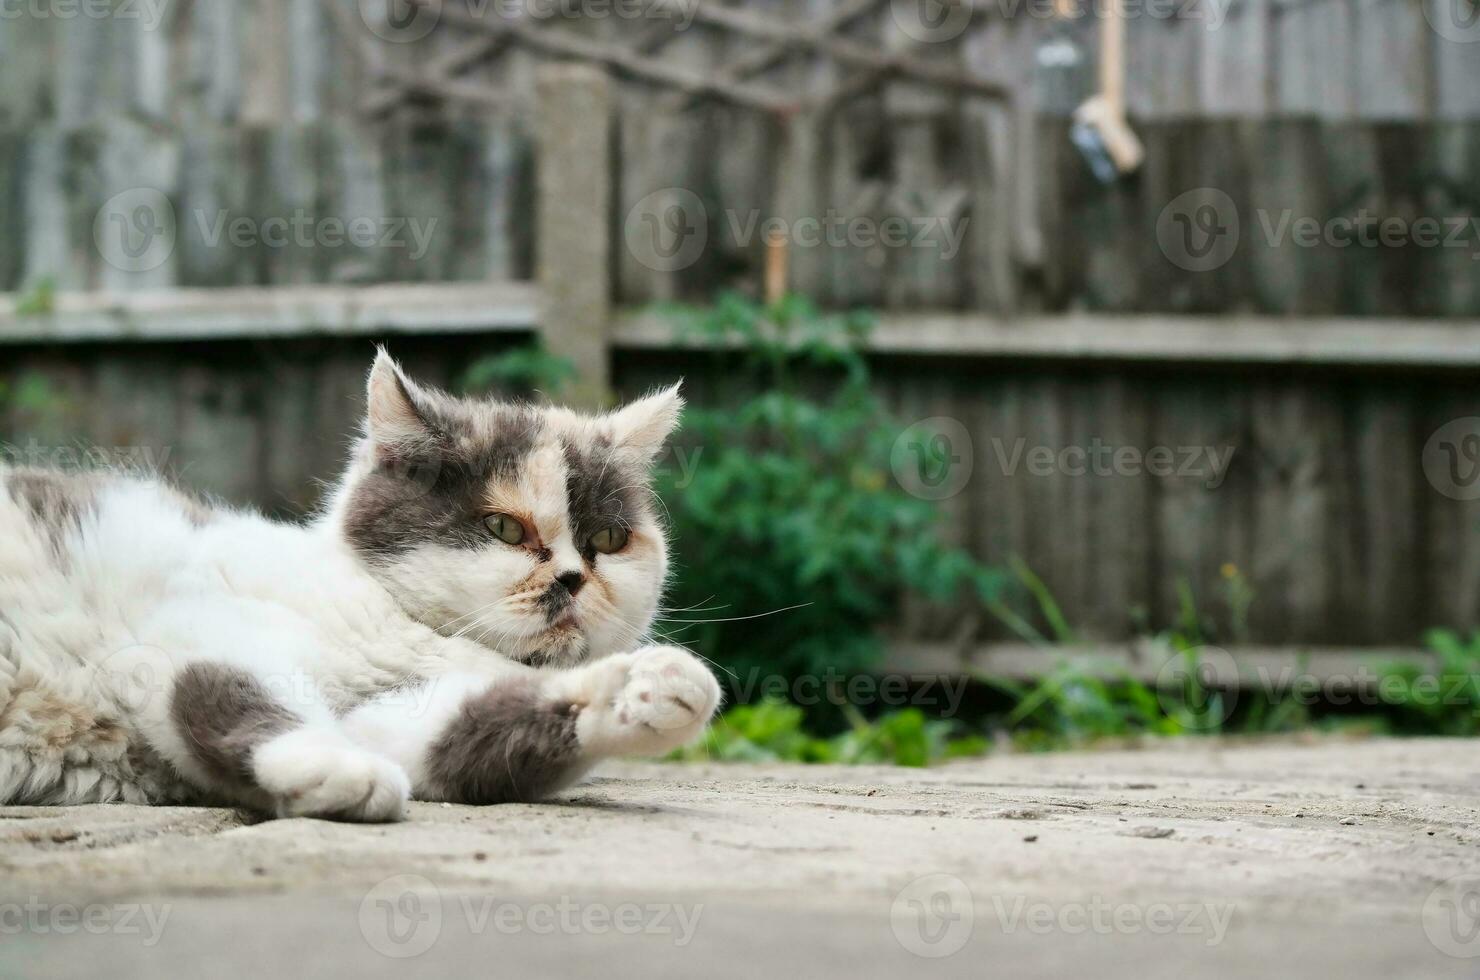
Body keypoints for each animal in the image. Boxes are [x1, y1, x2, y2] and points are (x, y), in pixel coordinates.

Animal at [0, 350, 722, 823]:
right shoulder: (189, 623)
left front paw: (638, 688)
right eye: (504, 528)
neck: (398, 624)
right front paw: (335, 768)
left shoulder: (393, 713)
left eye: (608, 540)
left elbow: (469, 729)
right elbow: (246, 693)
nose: (573, 578)